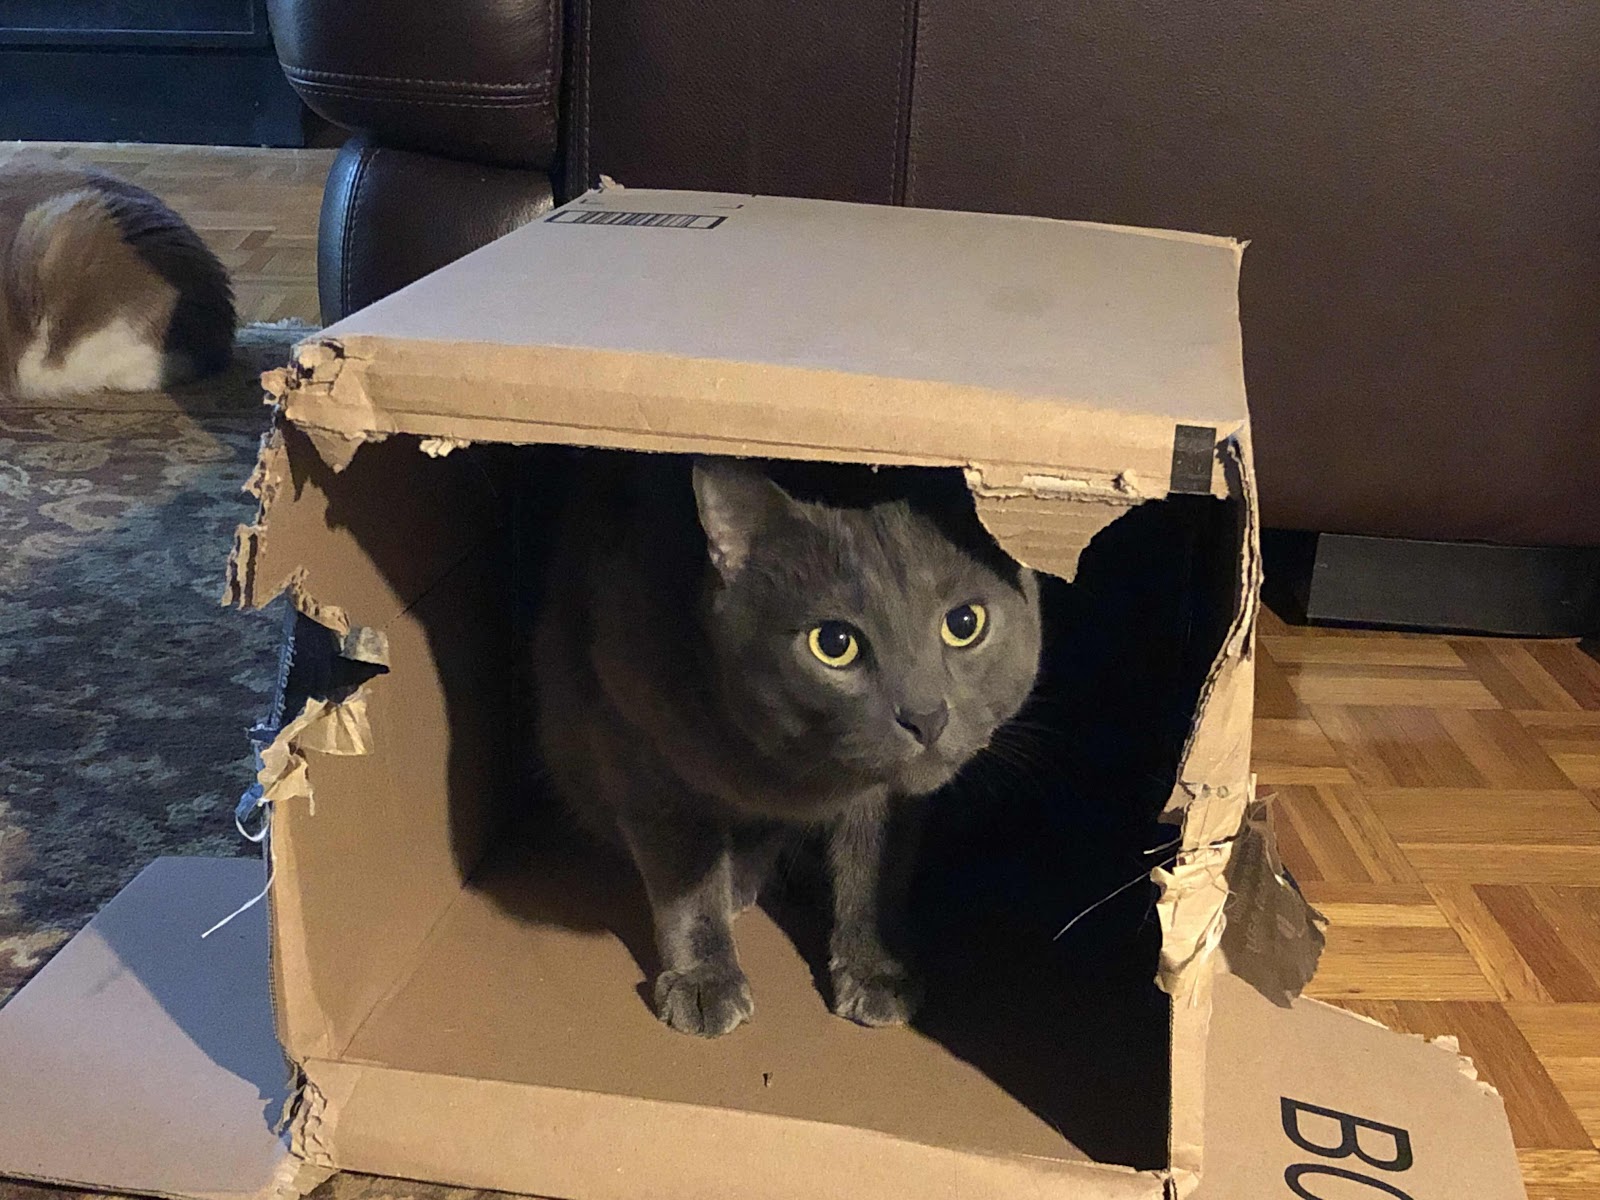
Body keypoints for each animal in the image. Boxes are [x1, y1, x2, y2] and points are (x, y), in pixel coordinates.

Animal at [533, 453, 1042, 1037]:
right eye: (834, 644)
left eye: (964, 622)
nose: (926, 717)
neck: (796, 771)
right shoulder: (637, 745)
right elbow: (685, 875)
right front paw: (704, 980)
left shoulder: (886, 804)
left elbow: (875, 866)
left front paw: (875, 972)